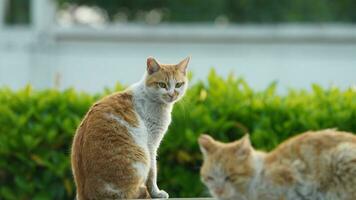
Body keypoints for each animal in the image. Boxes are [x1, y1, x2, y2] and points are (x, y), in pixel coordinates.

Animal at [70, 56, 191, 200]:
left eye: (178, 84)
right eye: (162, 85)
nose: (172, 94)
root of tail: (86, 193)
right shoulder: (151, 146)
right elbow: (152, 173)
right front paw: (156, 193)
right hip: (141, 158)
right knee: (130, 194)